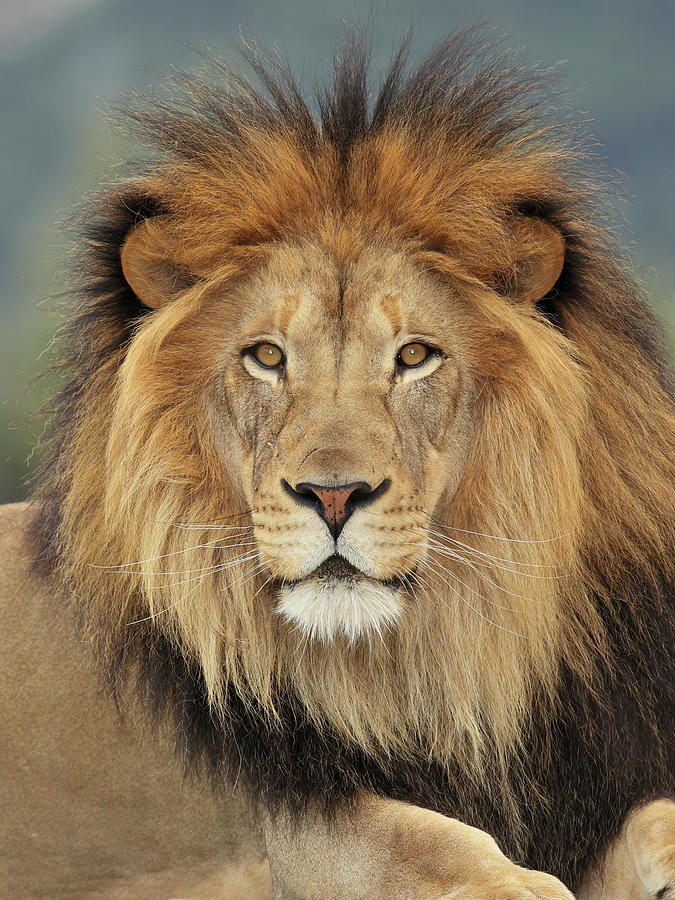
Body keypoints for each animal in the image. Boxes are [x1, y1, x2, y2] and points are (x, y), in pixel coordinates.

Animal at [2, 28, 673, 899]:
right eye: (265, 357)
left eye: (414, 356)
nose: (331, 496)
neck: (438, 658)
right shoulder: (283, 816)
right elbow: (414, 838)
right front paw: (518, 885)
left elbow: (646, 812)